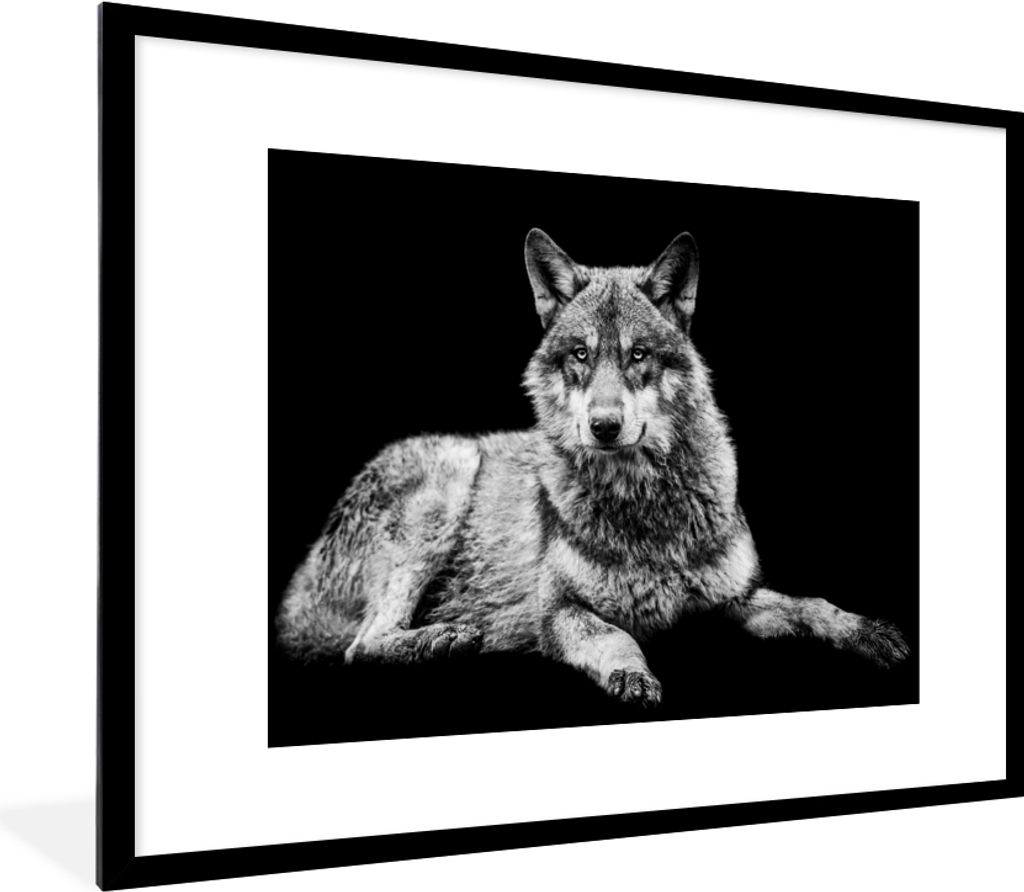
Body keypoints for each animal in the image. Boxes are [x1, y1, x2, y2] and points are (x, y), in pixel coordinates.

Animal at [277, 229, 909, 706]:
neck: (644, 507)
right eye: (580, 354)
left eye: (638, 355)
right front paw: (633, 675)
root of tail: (299, 586)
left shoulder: (736, 598)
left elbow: (812, 605)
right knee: (360, 645)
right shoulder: (558, 612)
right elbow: (614, 635)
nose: (604, 426)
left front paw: (868, 632)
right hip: (449, 476)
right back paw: (444, 638)